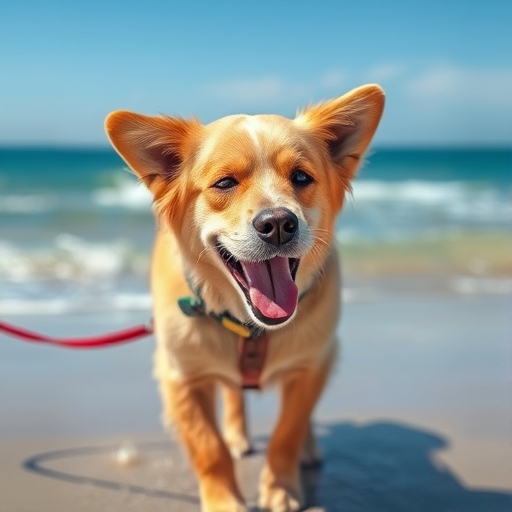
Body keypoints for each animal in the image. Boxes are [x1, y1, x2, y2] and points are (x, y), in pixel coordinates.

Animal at [105, 85, 384, 512]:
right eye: (224, 183)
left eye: (301, 177)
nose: (279, 223)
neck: (250, 326)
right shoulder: (179, 375)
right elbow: (208, 447)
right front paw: (224, 500)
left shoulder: (313, 363)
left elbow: (289, 429)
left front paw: (281, 488)